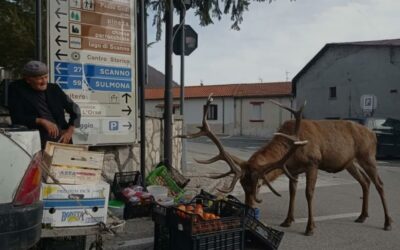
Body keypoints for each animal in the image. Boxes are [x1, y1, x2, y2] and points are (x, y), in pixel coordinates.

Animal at [182, 94, 394, 235]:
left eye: (258, 184)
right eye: (242, 184)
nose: (249, 208)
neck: (292, 149)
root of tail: (373, 134)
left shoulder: (313, 163)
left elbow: (308, 193)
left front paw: (310, 227)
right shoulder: (292, 169)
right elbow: (293, 192)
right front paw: (287, 221)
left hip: (368, 155)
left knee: (380, 183)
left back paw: (387, 222)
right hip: (350, 162)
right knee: (365, 182)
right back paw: (362, 216)